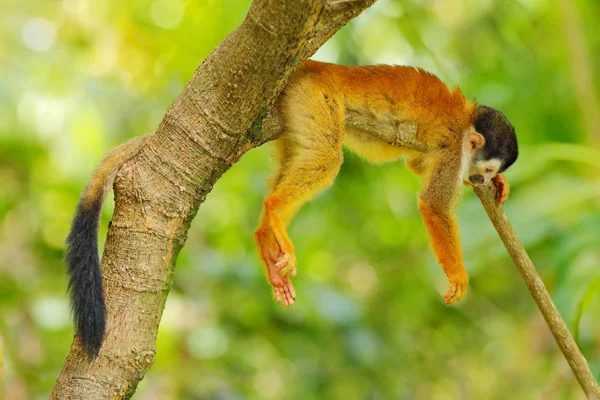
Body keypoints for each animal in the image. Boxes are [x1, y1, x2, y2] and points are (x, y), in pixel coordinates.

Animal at [252, 60, 516, 306]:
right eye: (487, 169)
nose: (483, 179)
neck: (465, 123)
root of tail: (316, 65)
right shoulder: (452, 149)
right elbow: (434, 205)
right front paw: (458, 276)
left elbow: (415, 165)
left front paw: (500, 183)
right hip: (316, 97)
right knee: (326, 159)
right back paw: (275, 209)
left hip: (292, 104)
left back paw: (265, 240)